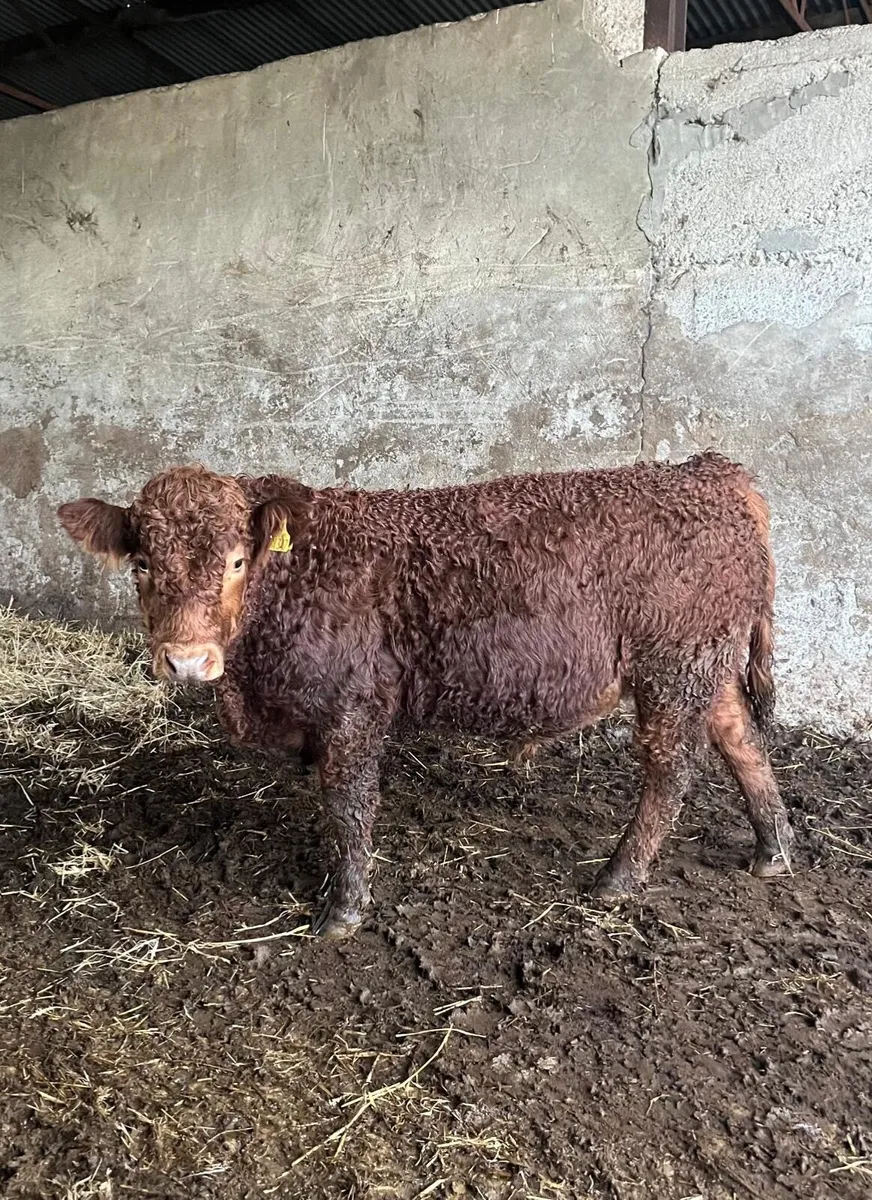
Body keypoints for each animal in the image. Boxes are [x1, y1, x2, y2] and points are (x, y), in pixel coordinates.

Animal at [58, 453, 794, 939]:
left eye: (238, 561)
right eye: (142, 564)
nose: (186, 660)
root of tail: (706, 470)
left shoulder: (353, 709)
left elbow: (349, 805)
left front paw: (343, 911)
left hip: (673, 668)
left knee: (671, 770)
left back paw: (618, 877)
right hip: (705, 667)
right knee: (743, 742)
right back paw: (773, 851)